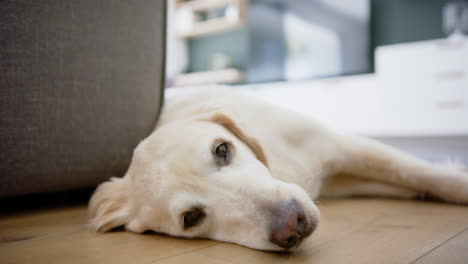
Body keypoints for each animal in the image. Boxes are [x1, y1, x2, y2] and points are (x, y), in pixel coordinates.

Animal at [88, 87, 468, 252]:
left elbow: (419, 173)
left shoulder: (341, 146)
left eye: (222, 150)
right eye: (191, 218)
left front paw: (456, 182)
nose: (293, 226)